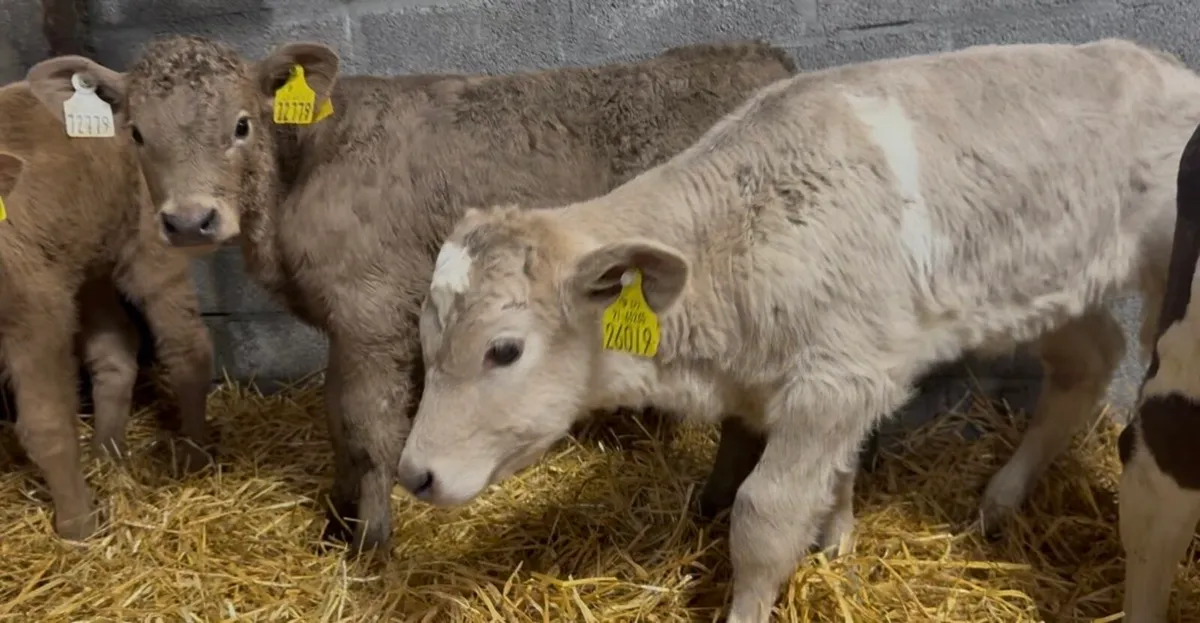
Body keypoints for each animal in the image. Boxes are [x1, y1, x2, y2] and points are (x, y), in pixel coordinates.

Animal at [24, 34, 800, 555]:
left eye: (241, 125)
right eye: (136, 132)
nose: (190, 220)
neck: (297, 180)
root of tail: (758, 57)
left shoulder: (372, 314)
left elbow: (371, 427)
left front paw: (372, 543)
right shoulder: (345, 323)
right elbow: (337, 415)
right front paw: (336, 520)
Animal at [395, 39, 1200, 622]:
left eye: (504, 349)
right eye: (427, 343)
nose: (414, 473)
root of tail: (1160, 63)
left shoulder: (833, 380)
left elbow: (763, 517)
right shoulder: (841, 378)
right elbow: (834, 479)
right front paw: (837, 543)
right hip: (1042, 286)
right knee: (1088, 360)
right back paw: (999, 499)